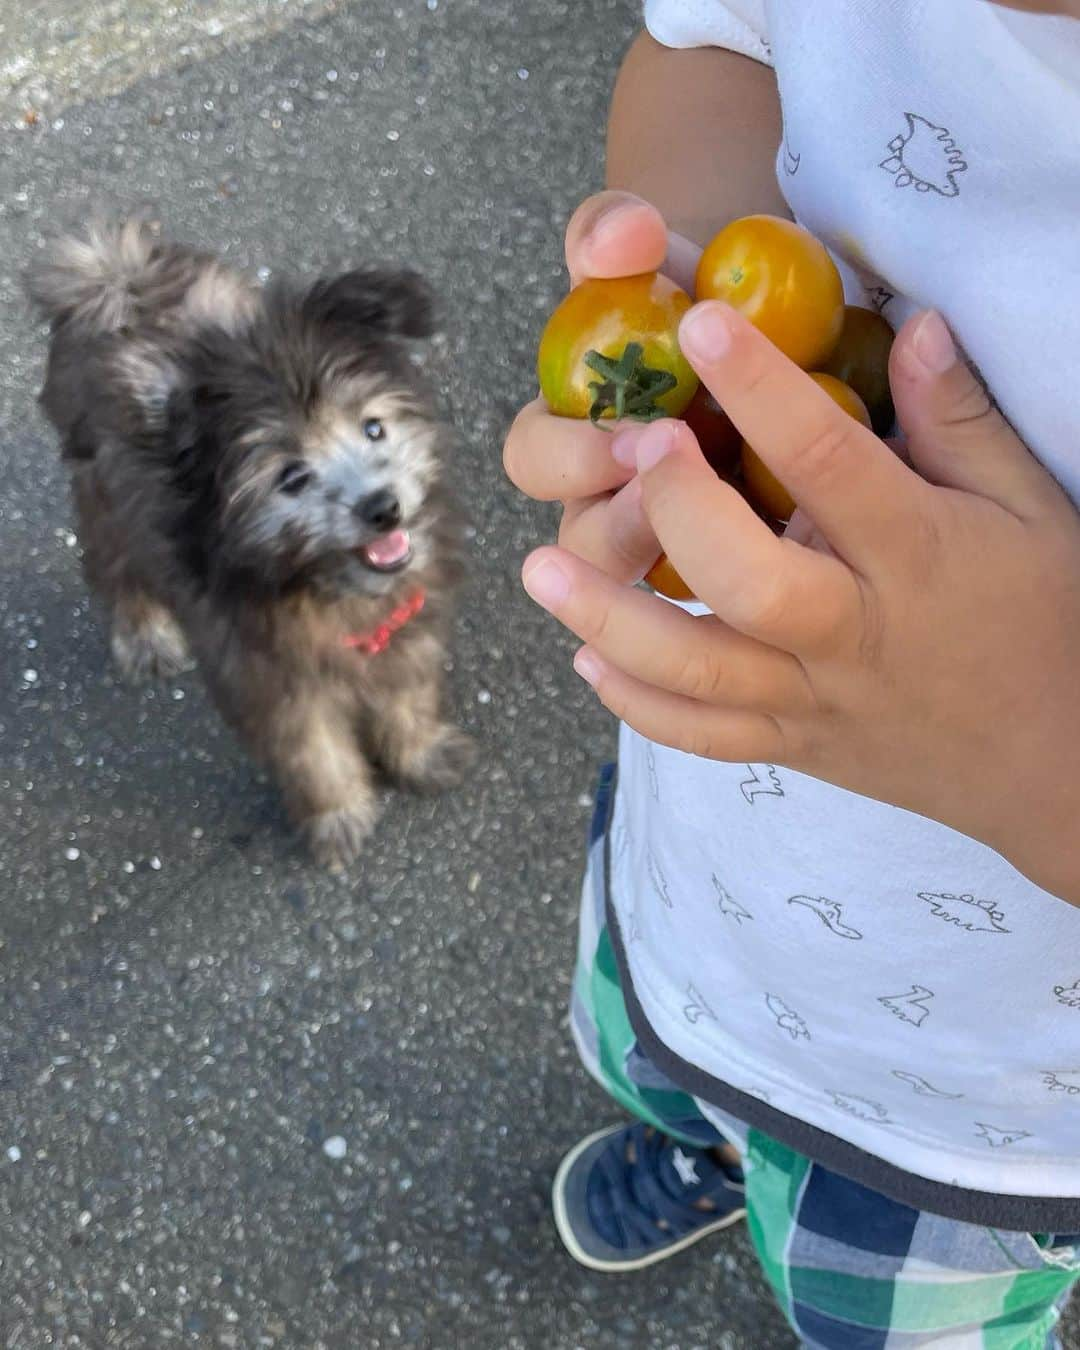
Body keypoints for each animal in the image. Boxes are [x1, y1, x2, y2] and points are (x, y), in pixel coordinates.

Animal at [26, 213, 467, 864]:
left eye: (373, 427)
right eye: (292, 477)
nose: (383, 508)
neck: (320, 585)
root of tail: (119, 277)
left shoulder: (406, 628)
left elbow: (407, 697)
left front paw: (421, 755)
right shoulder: (270, 677)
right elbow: (314, 753)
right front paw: (338, 816)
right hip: (102, 495)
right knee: (116, 568)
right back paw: (145, 634)